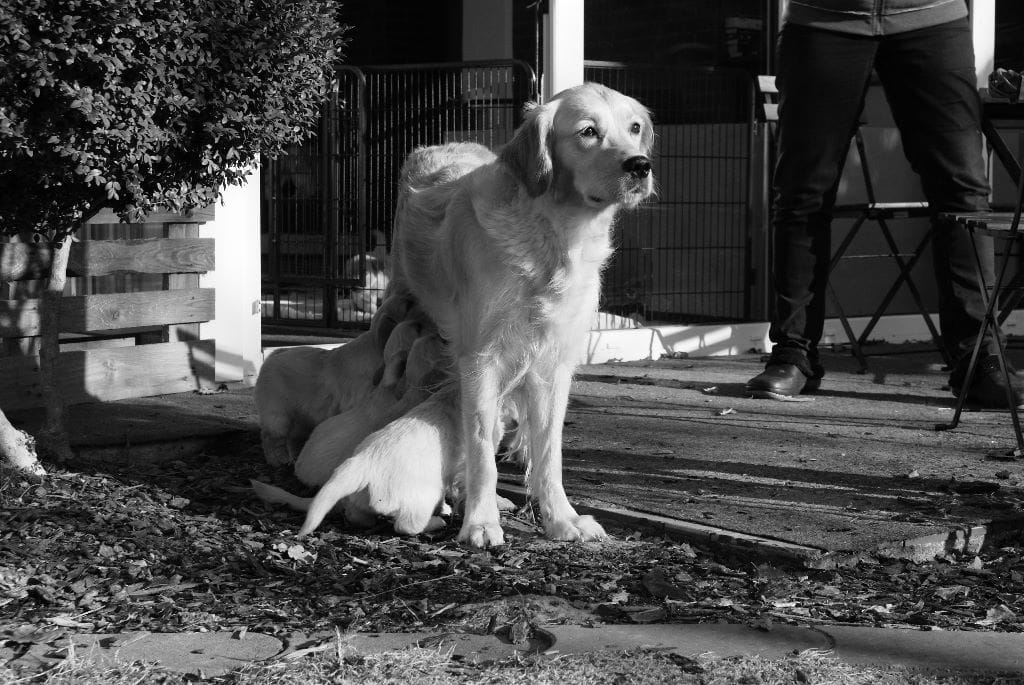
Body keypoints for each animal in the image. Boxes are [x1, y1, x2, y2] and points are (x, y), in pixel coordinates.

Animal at [254, 293, 410, 465]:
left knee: (292, 437)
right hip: (277, 414)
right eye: (408, 307)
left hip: (301, 417)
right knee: (270, 438)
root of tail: (273, 354)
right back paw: (278, 459)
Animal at [388, 82, 654, 547]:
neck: (554, 236)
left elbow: (549, 452)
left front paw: (562, 519)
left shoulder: (554, 364)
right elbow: (480, 446)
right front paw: (480, 522)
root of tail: (435, 146)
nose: (641, 165)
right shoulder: (480, 360)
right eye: (588, 131)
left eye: (635, 127)